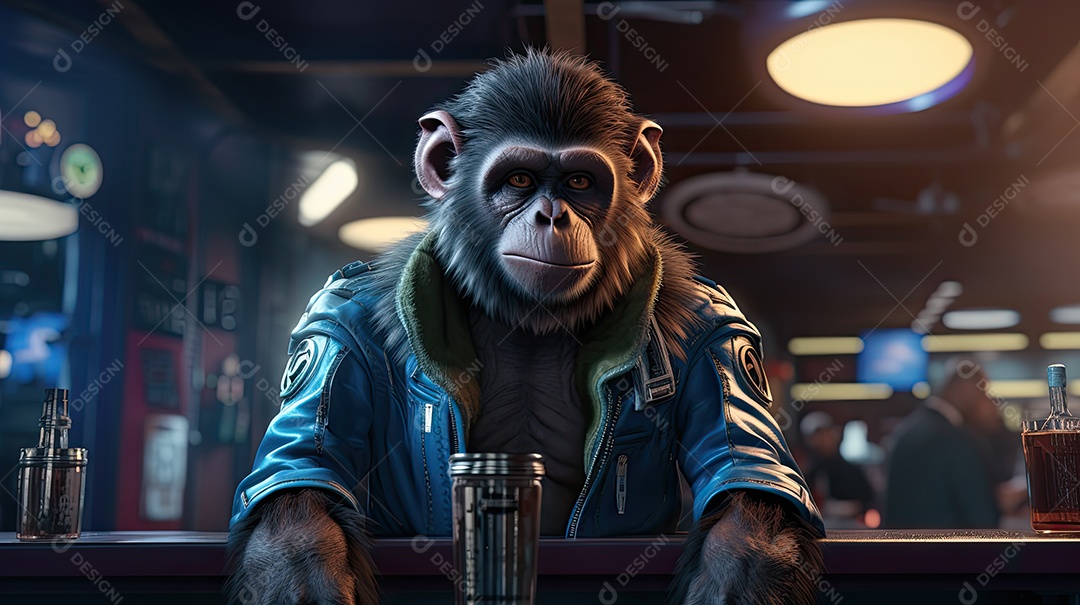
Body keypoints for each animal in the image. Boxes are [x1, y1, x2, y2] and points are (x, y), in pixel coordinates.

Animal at [227, 49, 824, 605]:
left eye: (580, 181)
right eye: (518, 179)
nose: (553, 216)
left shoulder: (720, 333)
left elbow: (748, 476)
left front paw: (732, 579)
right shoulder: (334, 325)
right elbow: (303, 471)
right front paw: (302, 578)